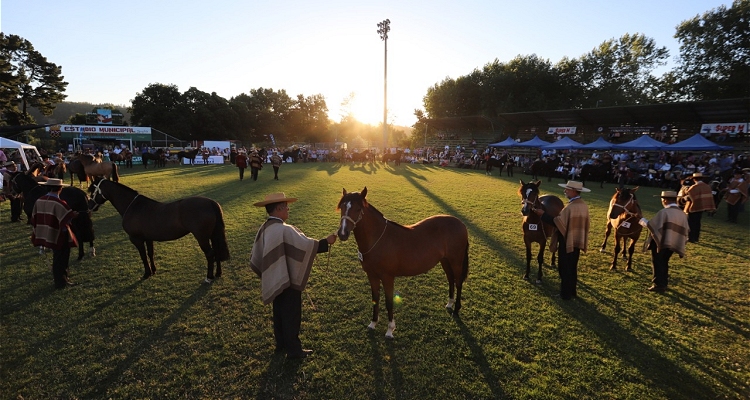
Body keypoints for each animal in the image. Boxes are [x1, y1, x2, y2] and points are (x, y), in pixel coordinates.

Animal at [87, 178, 231, 282]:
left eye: (92, 191)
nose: (89, 206)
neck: (133, 206)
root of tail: (211, 202)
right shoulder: (148, 238)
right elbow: (150, 254)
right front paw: (153, 270)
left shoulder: (136, 239)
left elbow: (143, 256)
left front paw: (146, 273)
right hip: (212, 234)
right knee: (217, 251)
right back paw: (218, 273)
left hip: (202, 237)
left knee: (210, 254)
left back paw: (209, 277)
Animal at [336, 187, 470, 338]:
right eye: (342, 207)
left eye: (358, 208)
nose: (342, 233)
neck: (378, 239)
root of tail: (461, 224)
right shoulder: (372, 276)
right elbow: (375, 299)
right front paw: (373, 323)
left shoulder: (388, 277)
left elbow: (389, 302)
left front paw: (390, 329)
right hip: (445, 261)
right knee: (451, 279)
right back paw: (449, 304)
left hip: (456, 261)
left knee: (458, 282)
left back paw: (456, 310)